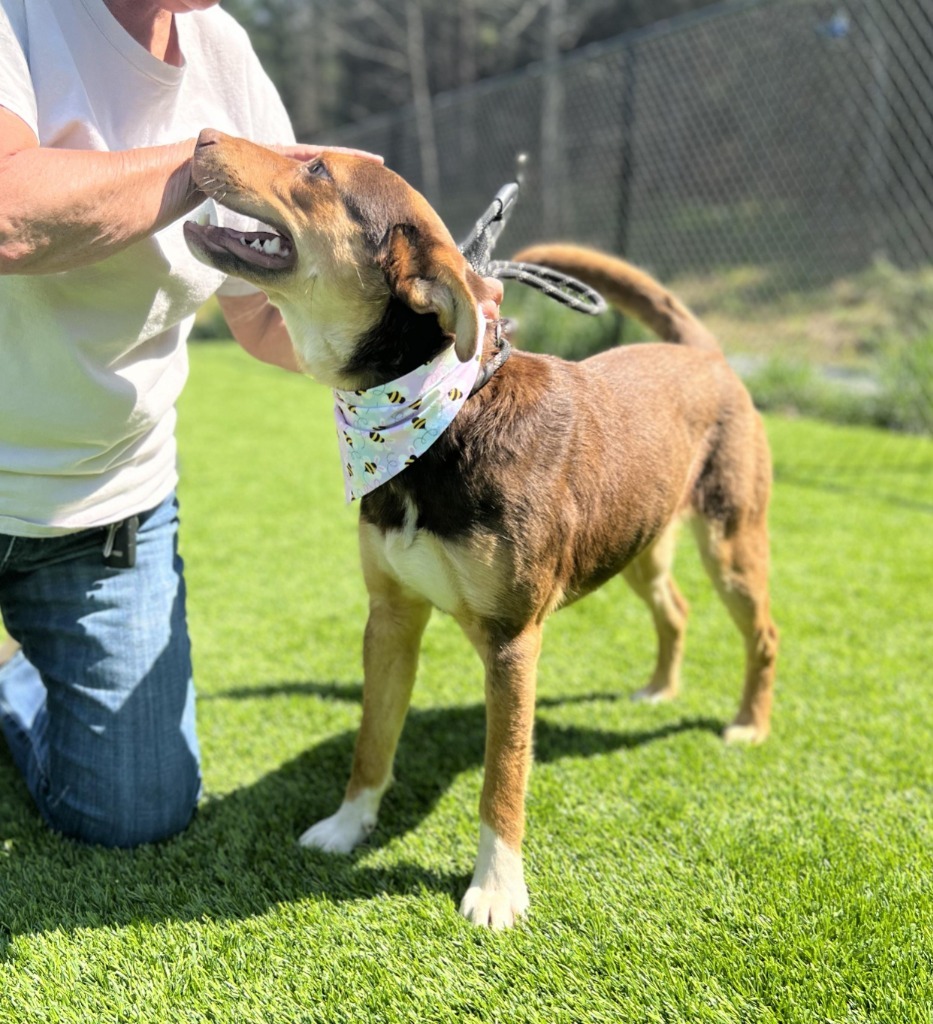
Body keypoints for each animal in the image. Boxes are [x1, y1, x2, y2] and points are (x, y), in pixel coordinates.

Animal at [184, 125, 782, 929]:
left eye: (315, 168)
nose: (201, 135)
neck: (437, 422)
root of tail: (704, 355)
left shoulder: (511, 640)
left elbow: (503, 778)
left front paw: (497, 889)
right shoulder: (391, 617)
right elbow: (372, 740)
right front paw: (347, 825)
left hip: (730, 544)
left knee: (763, 634)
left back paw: (749, 722)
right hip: (638, 544)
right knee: (676, 610)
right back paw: (660, 688)